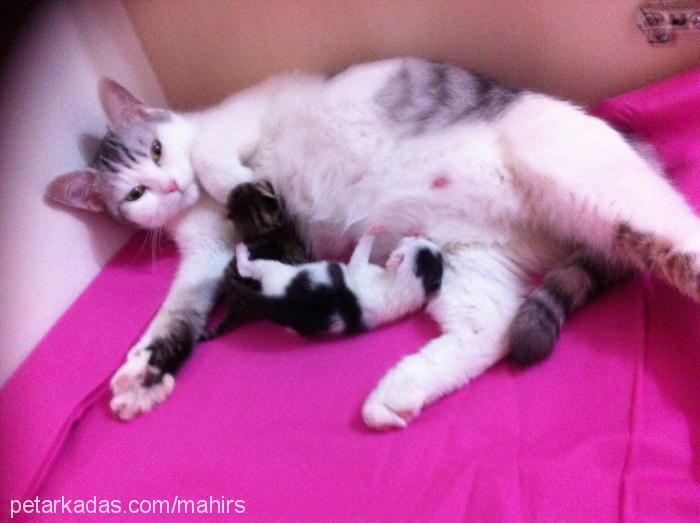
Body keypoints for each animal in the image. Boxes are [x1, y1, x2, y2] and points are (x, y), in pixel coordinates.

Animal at [46, 59, 696, 430]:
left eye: (156, 151)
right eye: (134, 193)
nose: (168, 186)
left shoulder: (239, 122)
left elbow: (212, 157)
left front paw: (243, 186)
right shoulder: (205, 257)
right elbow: (174, 316)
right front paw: (144, 375)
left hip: (601, 191)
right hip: (470, 258)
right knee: (492, 329)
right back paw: (400, 391)